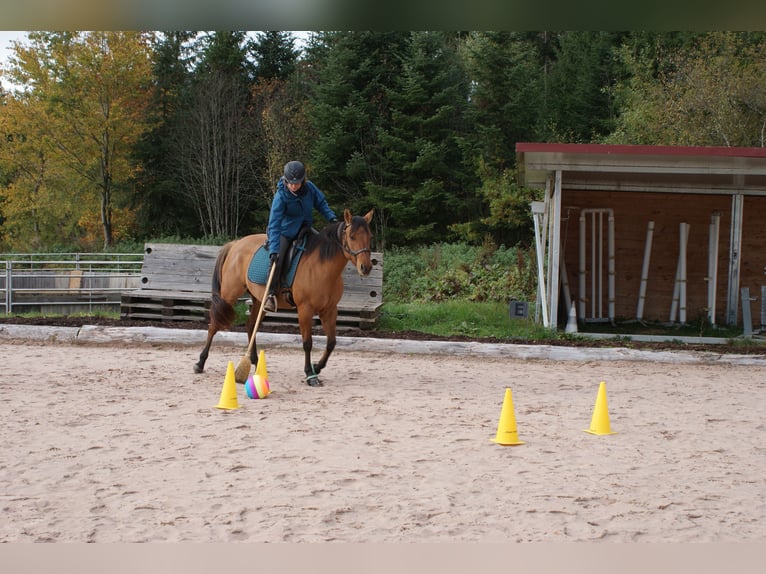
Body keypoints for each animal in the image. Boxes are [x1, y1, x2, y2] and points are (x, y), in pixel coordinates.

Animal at [195, 208, 376, 388]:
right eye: (352, 236)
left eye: (369, 236)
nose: (366, 267)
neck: (322, 267)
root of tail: (236, 244)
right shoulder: (305, 310)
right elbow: (307, 343)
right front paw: (310, 374)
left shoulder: (330, 310)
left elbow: (331, 342)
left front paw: (317, 366)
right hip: (229, 293)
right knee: (214, 324)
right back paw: (200, 362)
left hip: (259, 300)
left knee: (251, 325)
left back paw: (254, 362)